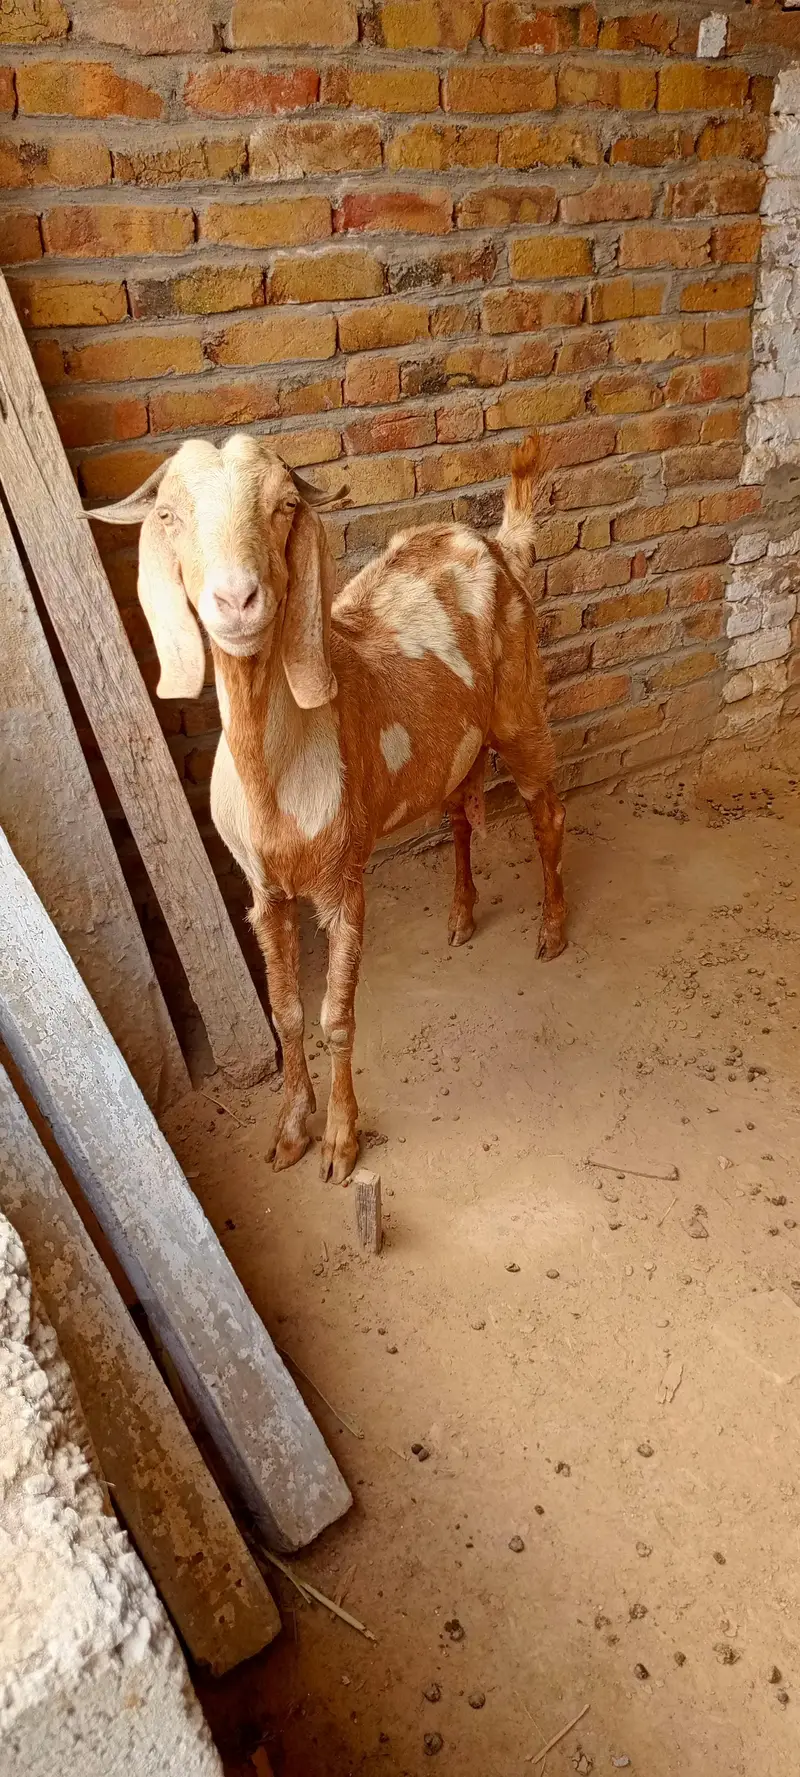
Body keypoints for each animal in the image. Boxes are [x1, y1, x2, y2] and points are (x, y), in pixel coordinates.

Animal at [89, 432, 566, 1184]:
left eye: (284, 505)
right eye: (168, 514)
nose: (236, 598)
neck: (276, 782)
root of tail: (501, 545)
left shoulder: (345, 884)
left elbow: (335, 1016)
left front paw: (342, 1144)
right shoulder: (264, 894)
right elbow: (286, 1013)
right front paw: (289, 1133)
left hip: (521, 711)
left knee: (547, 814)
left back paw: (552, 930)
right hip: (453, 749)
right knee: (461, 817)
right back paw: (461, 917)